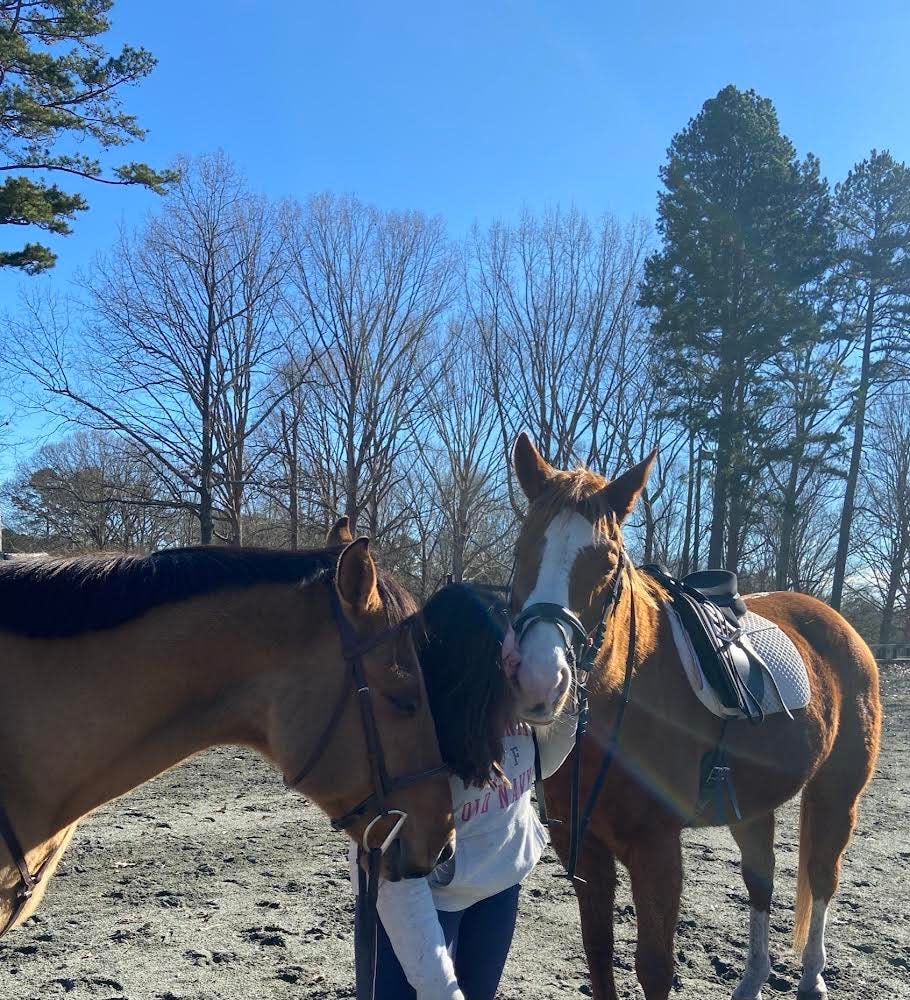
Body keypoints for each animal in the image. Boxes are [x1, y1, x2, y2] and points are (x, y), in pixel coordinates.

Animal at [510, 434, 880, 1000]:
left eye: (609, 563)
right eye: (522, 549)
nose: (538, 682)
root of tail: (841, 626)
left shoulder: (657, 849)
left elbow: (654, 967)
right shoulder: (585, 849)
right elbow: (598, 954)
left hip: (837, 795)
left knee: (821, 877)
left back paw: (813, 977)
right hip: (752, 807)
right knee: (761, 879)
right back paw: (752, 979)